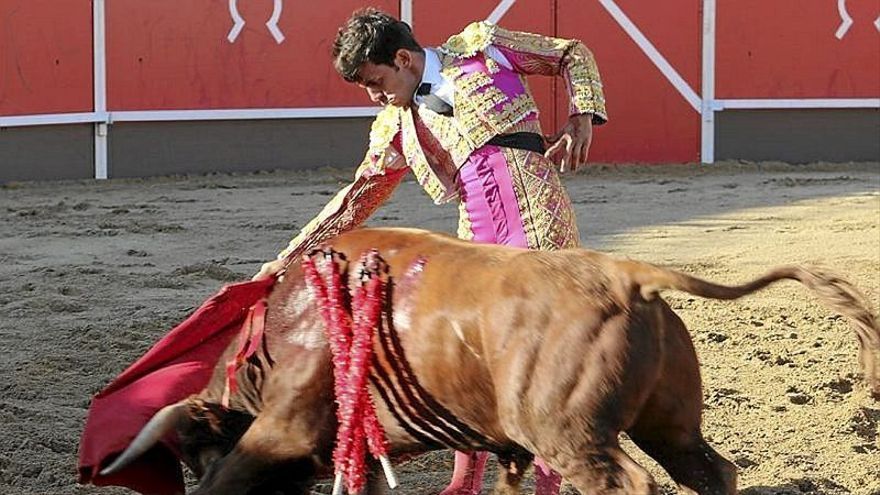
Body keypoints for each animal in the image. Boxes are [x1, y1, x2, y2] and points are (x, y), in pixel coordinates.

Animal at [99, 229, 876, 495]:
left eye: (193, 451)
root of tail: (627, 275)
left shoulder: (284, 428)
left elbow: (235, 475)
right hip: (670, 423)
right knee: (710, 471)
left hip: (568, 430)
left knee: (627, 481)